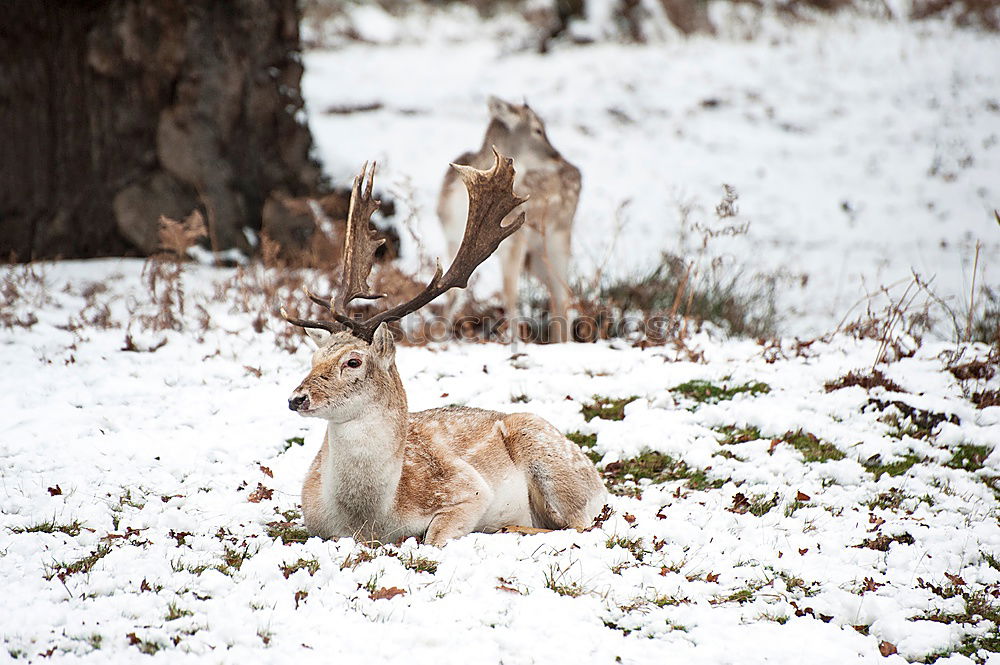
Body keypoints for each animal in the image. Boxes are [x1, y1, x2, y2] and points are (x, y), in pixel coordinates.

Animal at [284, 153, 608, 548]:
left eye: (354, 361)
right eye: (313, 359)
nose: (297, 398)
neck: (371, 519)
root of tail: (598, 479)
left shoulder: (468, 488)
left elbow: (434, 536)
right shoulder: (315, 521)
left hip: (551, 459)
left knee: (579, 524)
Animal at [436, 97, 580, 342]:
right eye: (538, 129)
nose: (557, 157)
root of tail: (578, 172)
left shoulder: (514, 241)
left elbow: (510, 296)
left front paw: (515, 340)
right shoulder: (451, 238)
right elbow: (452, 294)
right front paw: (439, 338)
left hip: (560, 235)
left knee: (564, 294)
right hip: (536, 256)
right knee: (556, 294)